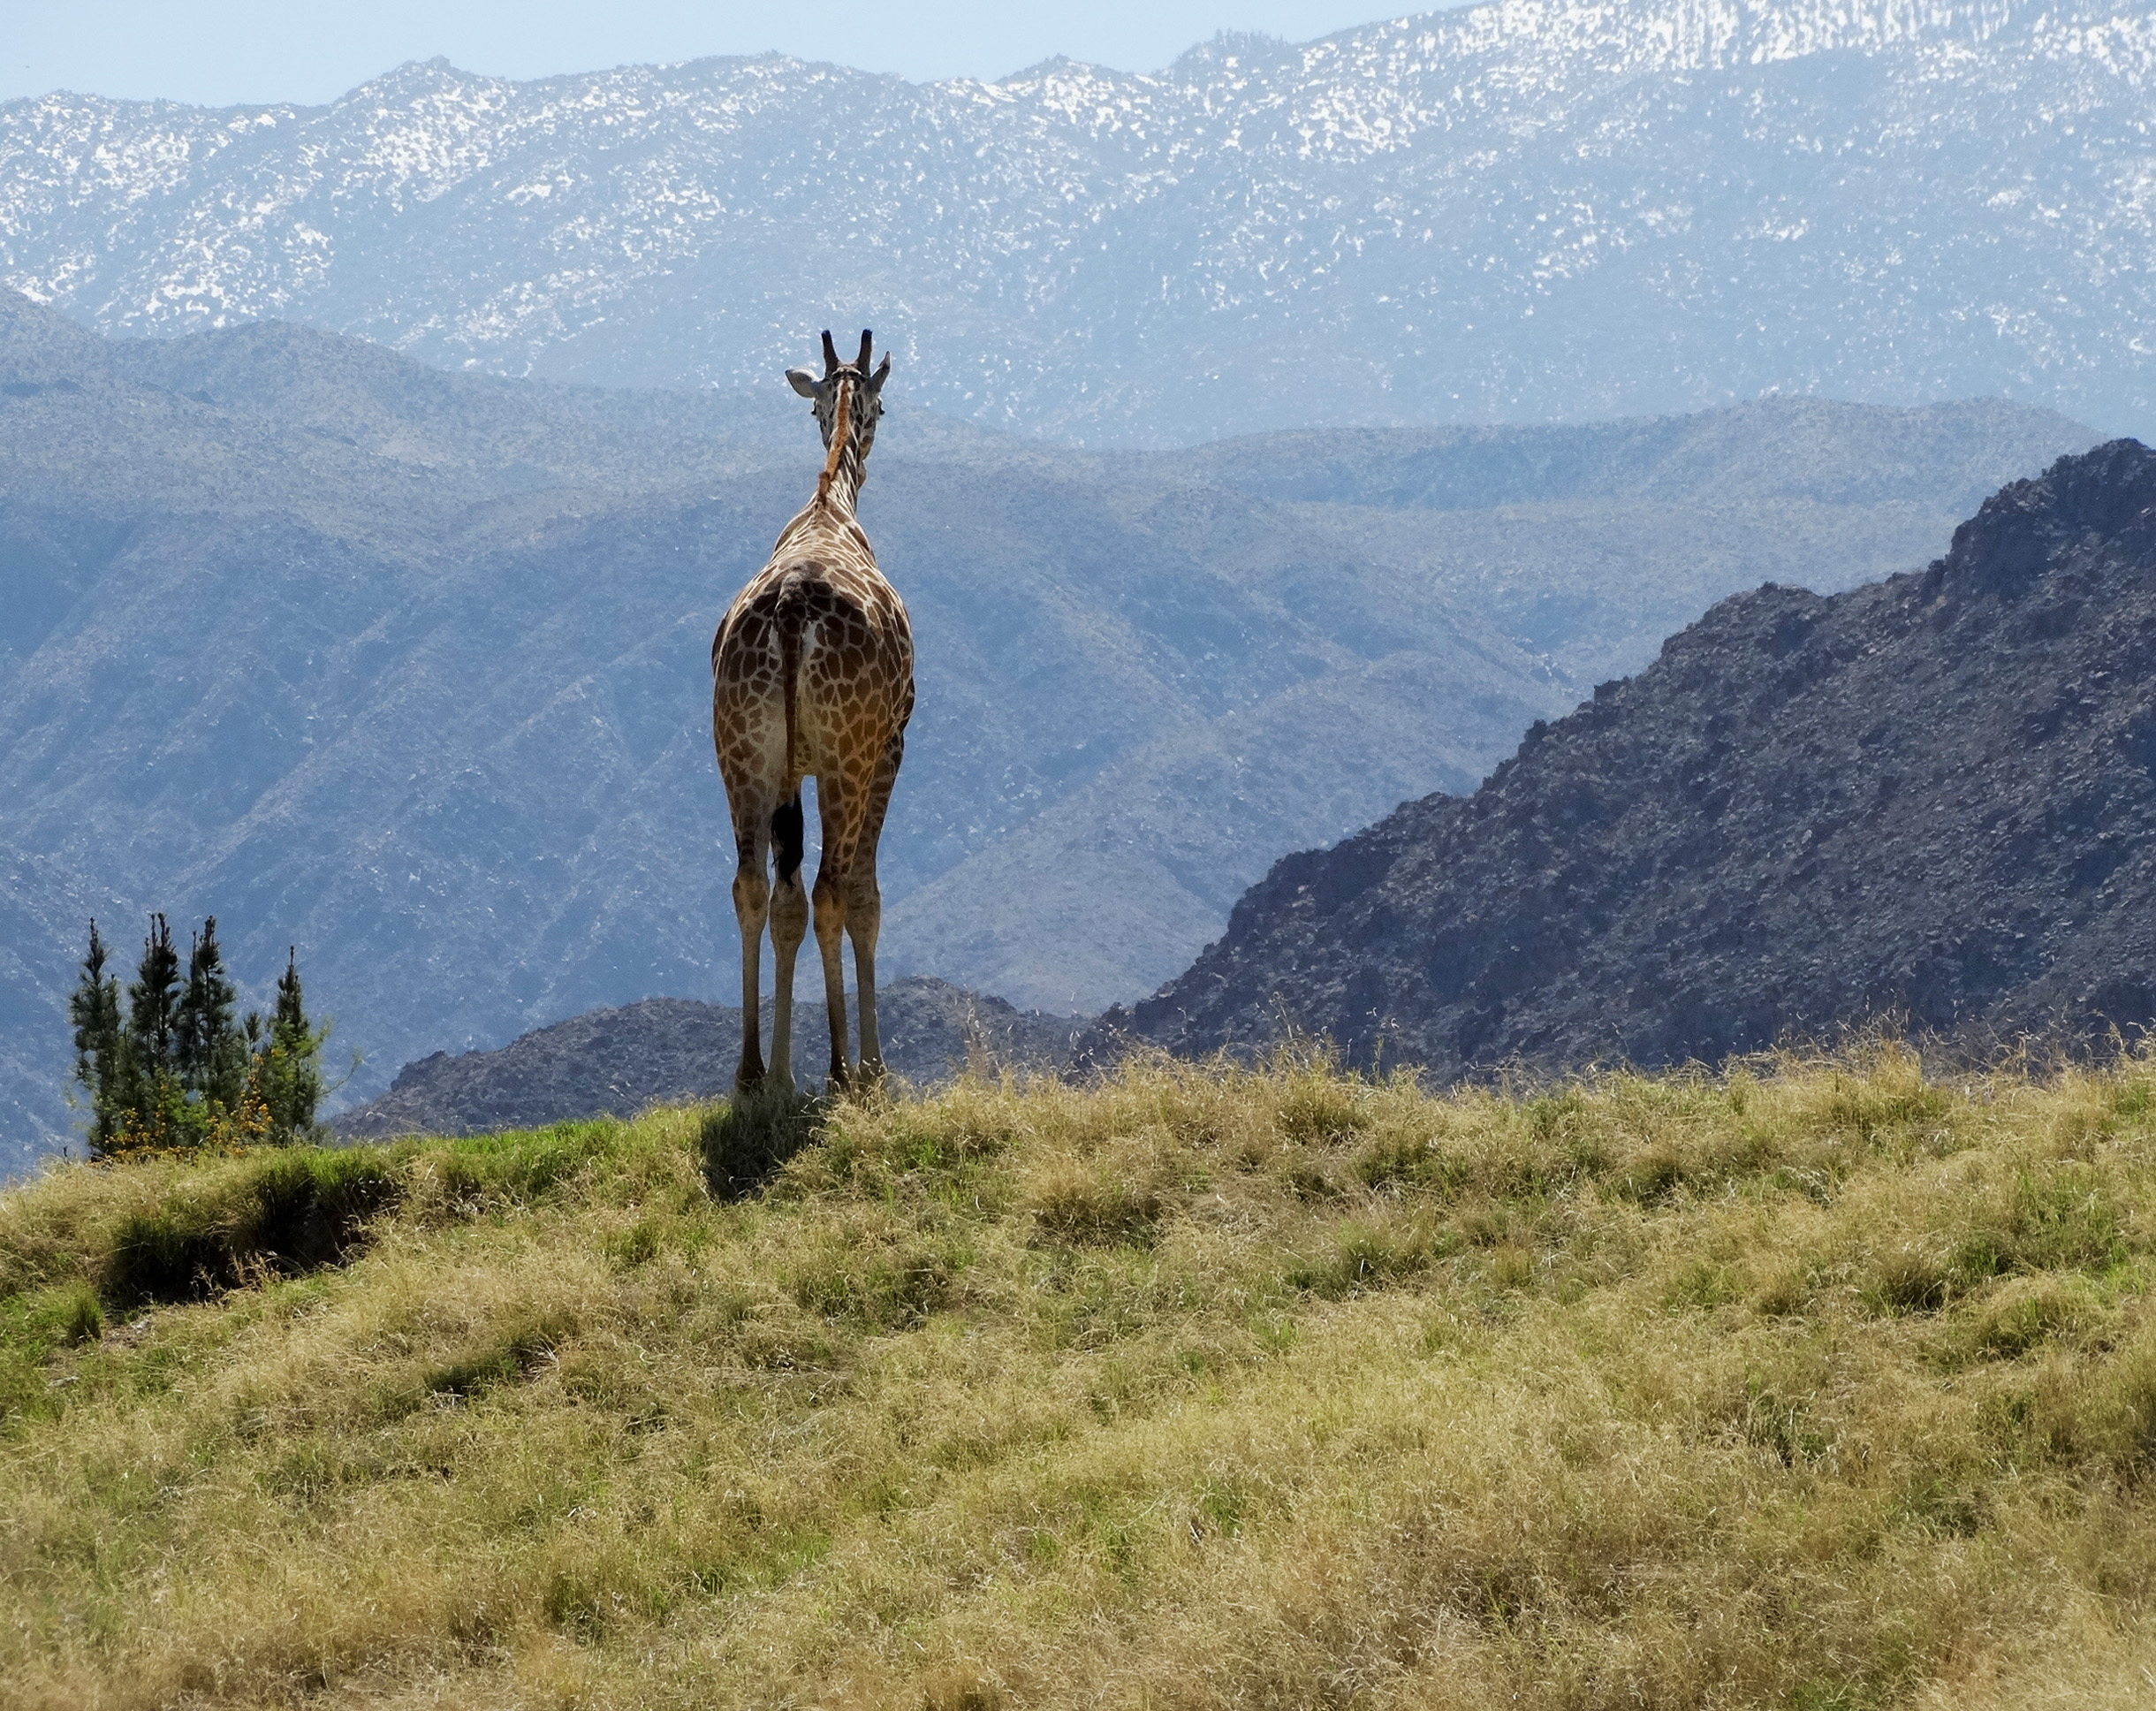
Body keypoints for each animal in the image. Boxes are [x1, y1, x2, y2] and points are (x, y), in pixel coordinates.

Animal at [707, 328, 909, 1087]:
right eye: (882, 406)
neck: (830, 505)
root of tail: (792, 615)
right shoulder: (890, 745)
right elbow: (864, 895)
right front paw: (868, 1066)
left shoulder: (791, 765)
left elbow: (785, 898)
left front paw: (784, 1070)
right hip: (848, 756)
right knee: (832, 889)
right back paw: (841, 1070)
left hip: (738, 752)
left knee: (752, 887)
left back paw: (752, 1072)